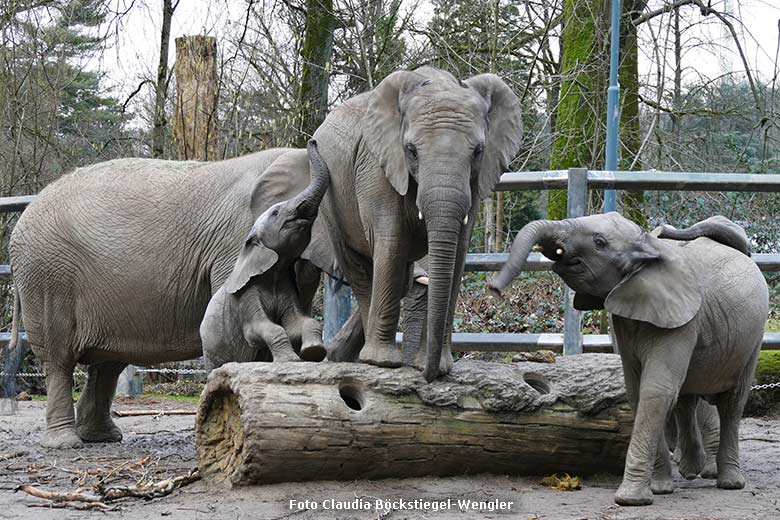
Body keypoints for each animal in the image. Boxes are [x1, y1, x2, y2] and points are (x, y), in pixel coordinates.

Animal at [201, 140, 330, 370]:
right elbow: (264, 328)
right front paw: (290, 361)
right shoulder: (245, 296)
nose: (312, 141)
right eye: (276, 212)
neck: (274, 273)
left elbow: (297, 323)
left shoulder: (287, 289)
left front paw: (314, 353)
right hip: (213, 348)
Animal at [314, 67, 520, 380]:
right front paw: (384, 363)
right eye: (411, 150)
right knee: (360, 269)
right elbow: (391, 241)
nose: (428, 374)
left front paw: (441, 367)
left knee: (401, 278)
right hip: (330, 198)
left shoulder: (475, 180)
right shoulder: (377, 166)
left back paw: (343, 354)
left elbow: (458, 253)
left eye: (478, 152)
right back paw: (362, 358)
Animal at [494, 211, 768, 504]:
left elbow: (656, 390)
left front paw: (631, 500)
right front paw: (659, 489)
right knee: (686, 396)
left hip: (754, 336)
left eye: (599, 242)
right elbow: (638, 391)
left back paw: (729, 482)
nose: (494, 289)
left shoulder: (682, 322)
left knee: (732, 403)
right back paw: (690, 470)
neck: (649, 247)